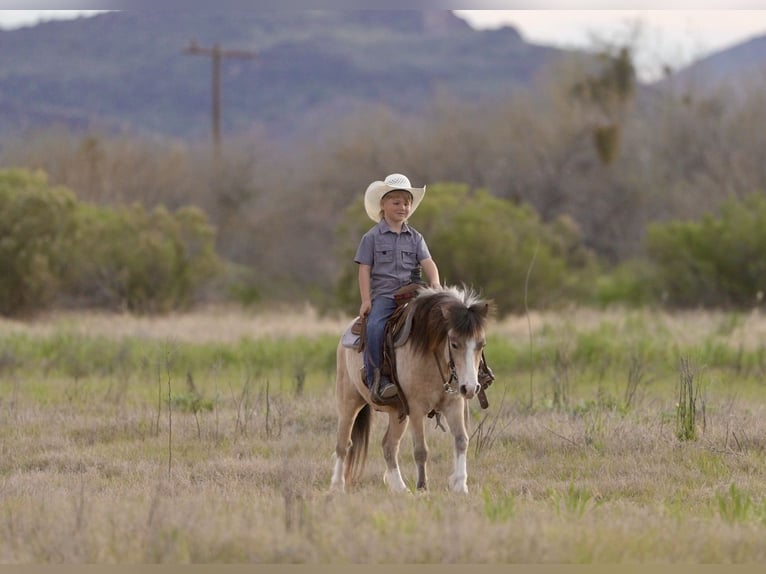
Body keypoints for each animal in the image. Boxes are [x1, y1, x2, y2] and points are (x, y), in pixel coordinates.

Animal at [330, 285, 492, 494]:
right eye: (455, 343)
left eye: (481, 344)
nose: (470, 387)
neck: (431, 354)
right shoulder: (416, 409)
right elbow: (421, 450)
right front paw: (422, 487)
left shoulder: (454, 404)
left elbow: (462, 440)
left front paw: (460, 485)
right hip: (349, 401)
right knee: (343, 443)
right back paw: (337, 486)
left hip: (397, 413)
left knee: (388, 445)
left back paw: (399, 488)